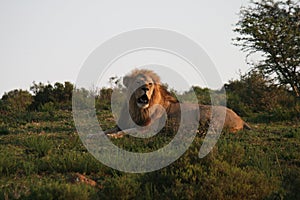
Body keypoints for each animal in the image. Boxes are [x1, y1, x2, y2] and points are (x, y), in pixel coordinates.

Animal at [105, 69, 251, 138]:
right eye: (138, 82)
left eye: (150, 84)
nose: (145, 88)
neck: (137, 108)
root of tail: (241, 118)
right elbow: (107, 130)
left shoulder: (149, 129)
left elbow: (126, 132)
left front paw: (112, 136)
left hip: (208, 113)